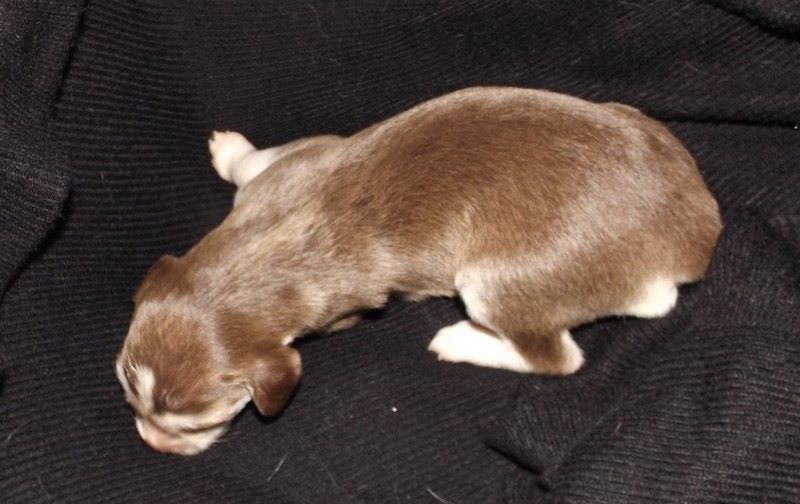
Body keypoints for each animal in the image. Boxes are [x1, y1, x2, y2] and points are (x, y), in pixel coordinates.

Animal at [116, 87, 721, 455]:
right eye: (126, 390)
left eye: (198, 424)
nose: (149, 440)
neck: (259, 252)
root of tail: (695, 236)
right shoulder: (294, 164)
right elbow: (258, 162)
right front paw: (232, 150)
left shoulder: (342, 302)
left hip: (496, 282)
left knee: (558, 357)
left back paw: (461, 339)